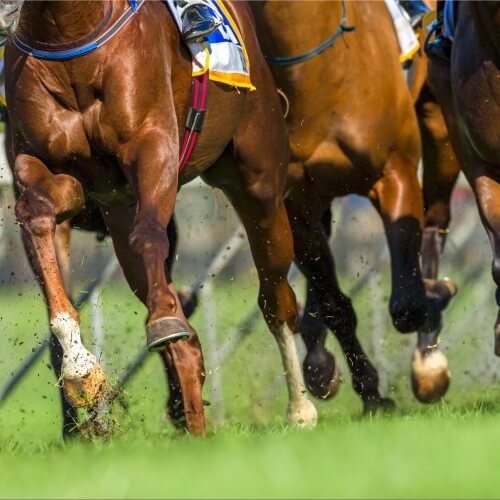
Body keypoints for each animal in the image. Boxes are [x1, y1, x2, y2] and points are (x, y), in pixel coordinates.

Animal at [0, 0, 316, 436]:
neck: (66, 35)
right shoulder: (54, 170)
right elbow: (38, 215)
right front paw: (80, 365)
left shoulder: (154, 146)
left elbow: (150, 233)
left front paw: (165, 318)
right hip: (120, 215)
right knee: (189, 343)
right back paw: (194, 420)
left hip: (259, 178)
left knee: (275, 297)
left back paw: (300, 408)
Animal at [250, 0, 458, 412]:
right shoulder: (295, 200)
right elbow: (335, 304)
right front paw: (367, 388)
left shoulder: (395, 171)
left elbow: (407, 304)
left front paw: (434, 300)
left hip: (440, 123)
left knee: (436, 219)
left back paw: (429, 354)